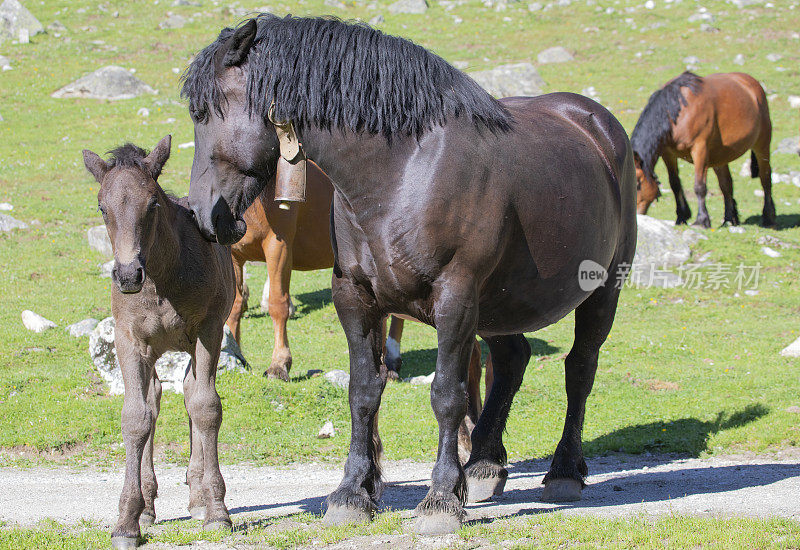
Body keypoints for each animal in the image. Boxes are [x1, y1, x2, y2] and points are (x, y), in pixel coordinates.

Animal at [84, 137, 234, 548]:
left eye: (152, 203)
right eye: (102, 207)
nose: (127, 274)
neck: (161, 280)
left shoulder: (209, 330)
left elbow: (205, 407)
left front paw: (217, 510)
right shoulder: (128, 340)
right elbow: (136, 418)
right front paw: (126, 521)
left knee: (190, 392)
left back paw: (198, 497)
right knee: (153, 398)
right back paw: (148, 507)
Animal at [181, 15, 636, 536]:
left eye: (202, 111)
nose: (206, 216)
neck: (402, 172)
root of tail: (596, 123)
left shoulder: (456, 298)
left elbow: (447, 396)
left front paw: (440, 500)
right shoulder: (355, 297)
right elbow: (363, 392)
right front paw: (352, 494)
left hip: (601, 292)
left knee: (579, 369)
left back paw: (564, 471)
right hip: (502, 304)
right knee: (512, 363)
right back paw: (484, 466)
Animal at [632, 72, 776, 227]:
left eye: (637, 183)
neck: (678, 112)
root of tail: (753, 84)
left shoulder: (699, 149)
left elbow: (699, 186)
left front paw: (701, 220)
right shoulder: (668, 154)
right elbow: (675, 184)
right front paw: (682, 216)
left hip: (762, 145)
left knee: (765, 178)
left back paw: (768, 217)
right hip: (721, 155)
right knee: (726, 184)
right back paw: (729, 219)